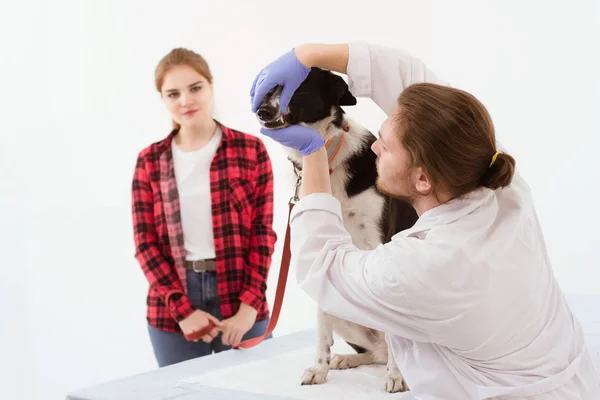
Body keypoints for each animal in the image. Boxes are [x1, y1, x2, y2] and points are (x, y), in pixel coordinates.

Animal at [255, 67, 420, 392]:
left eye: (297, 88)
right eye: (269, 88)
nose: (262, 111)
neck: (324, 161)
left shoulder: (379, 244)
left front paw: (396, 376)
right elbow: (322, 331)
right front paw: (319, 368)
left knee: (389, 348)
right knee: (375, 352)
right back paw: (345, 359)